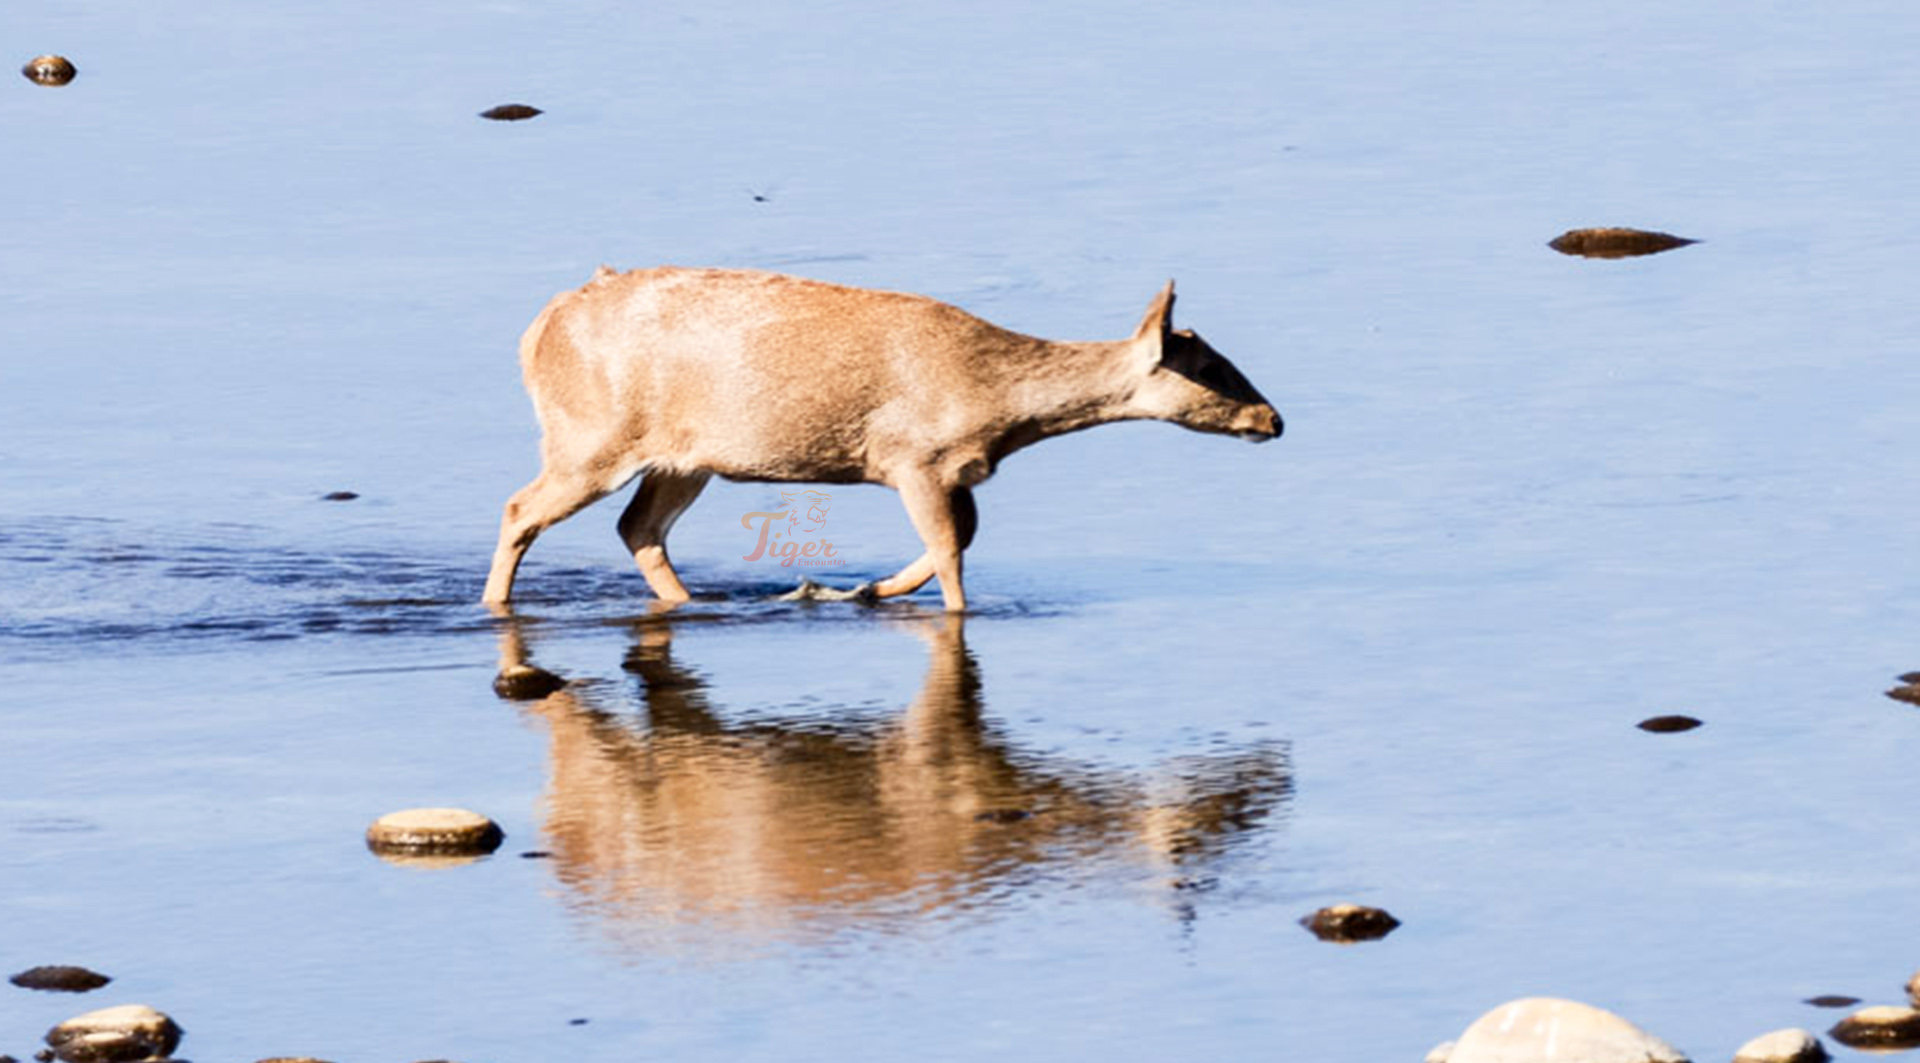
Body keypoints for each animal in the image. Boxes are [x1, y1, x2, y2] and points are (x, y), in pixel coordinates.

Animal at [482, 267, 1282, 611]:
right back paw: (495, 604)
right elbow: (952, 552)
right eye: (1212, 369)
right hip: (591, 433)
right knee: (522, 507)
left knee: (638, 526)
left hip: (684, 456)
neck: (998, 407)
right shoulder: (914, 456)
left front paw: (862, 587)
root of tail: (534, 332)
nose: (1274, 419)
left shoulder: (954, 469)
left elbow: (957, 539)